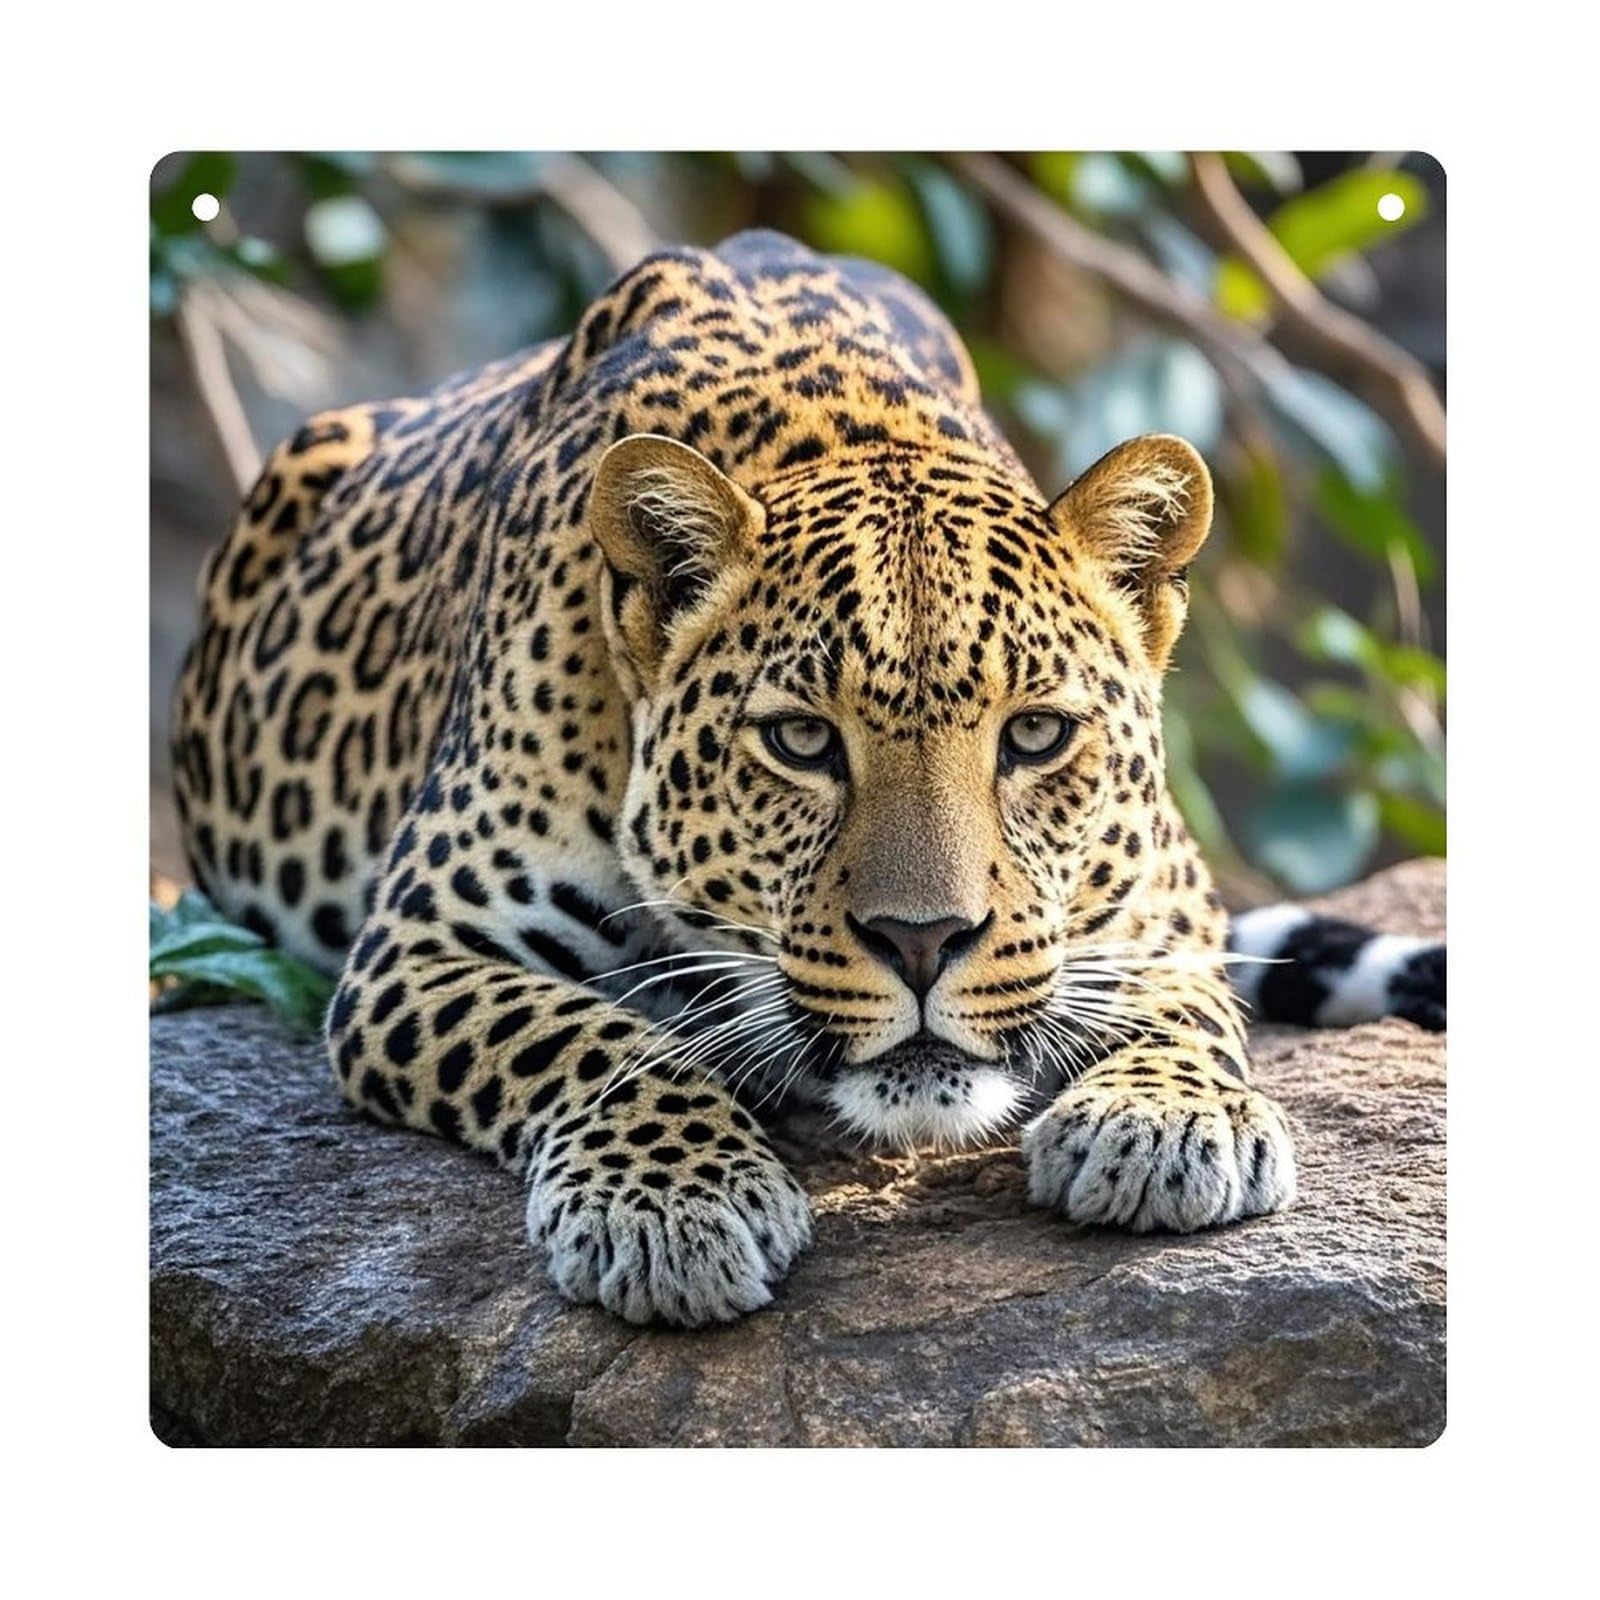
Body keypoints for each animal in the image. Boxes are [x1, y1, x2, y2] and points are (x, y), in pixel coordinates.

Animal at [171, 228, 1446, 1326]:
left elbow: (1183, 989)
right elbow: (587, 1035)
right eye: (800, 742)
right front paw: (671, 1198)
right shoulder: (419, 945)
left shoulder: (1166, 887)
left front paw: (1170, 1116)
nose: (923, 942)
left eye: (1035, 735)